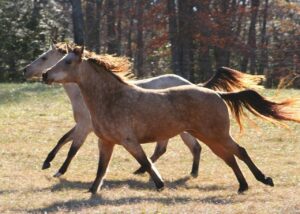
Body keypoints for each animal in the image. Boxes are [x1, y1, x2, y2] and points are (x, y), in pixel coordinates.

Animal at [23, 41, 262, 177]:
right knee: (182, 148)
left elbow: (71, 146)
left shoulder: (85, 126)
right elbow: (63, 139)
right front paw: (47, 162)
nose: (29, 71)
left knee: (189, 148)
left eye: (45, 57)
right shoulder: (84, 126)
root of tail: (197, 86)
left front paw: (57, 170)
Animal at [42, 46, 300, 195]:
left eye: (67, 62)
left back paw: (263, 180)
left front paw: (159, 184)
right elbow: (101, 169)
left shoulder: (128, 141)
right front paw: (92, 190)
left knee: (239, 152)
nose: (45, 75)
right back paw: (244, 186)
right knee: (230, 157)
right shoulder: (105, 142)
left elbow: (145, 161)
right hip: (208, 137)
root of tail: (217, 94)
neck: (112, 98)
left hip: (216, 135)